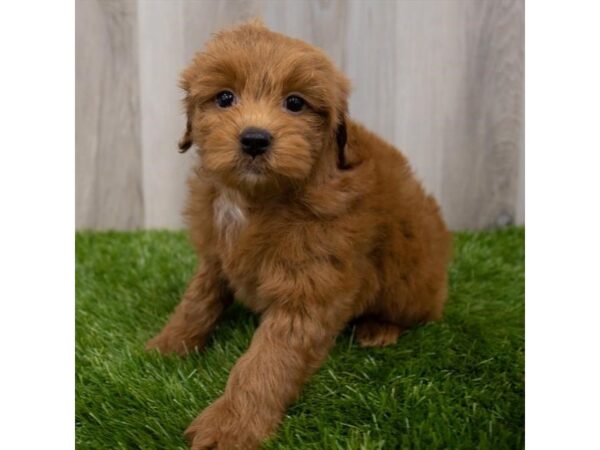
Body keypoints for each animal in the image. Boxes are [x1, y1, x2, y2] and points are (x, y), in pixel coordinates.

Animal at [146, 19, 450, 448]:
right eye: (225, 97)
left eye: (295, 103)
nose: (254, 139)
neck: (256, 198)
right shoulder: (217, 254)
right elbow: (198, 300)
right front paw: (169, 345)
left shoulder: (309, 284)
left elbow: (266, 362)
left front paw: (231, 425)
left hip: (410, 282)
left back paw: (379, 329)